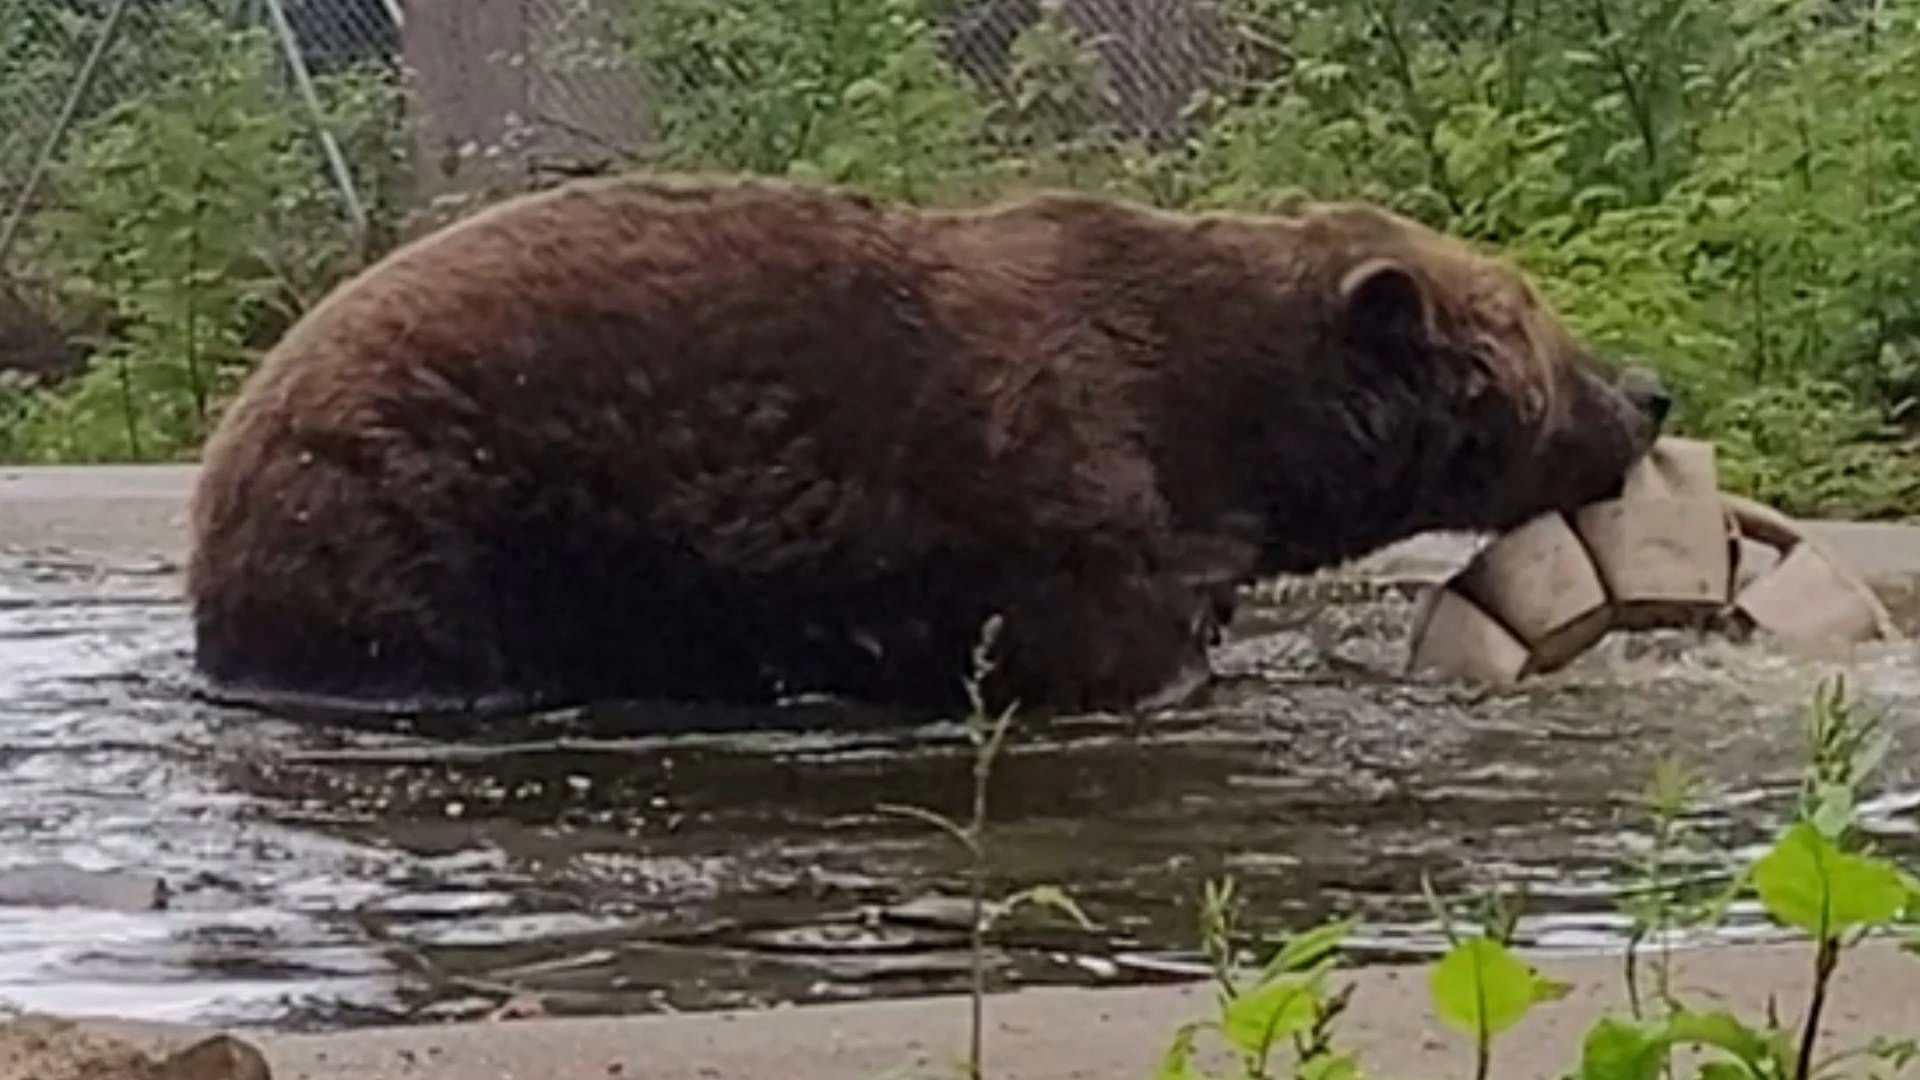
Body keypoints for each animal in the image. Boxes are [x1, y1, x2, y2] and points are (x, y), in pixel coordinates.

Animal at [185, 173, 1671, 723]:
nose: (1649, 390)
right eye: (1540, 325)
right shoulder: (1073, 511)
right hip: (417, 512)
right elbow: (1110, 653)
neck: (1236, 431)